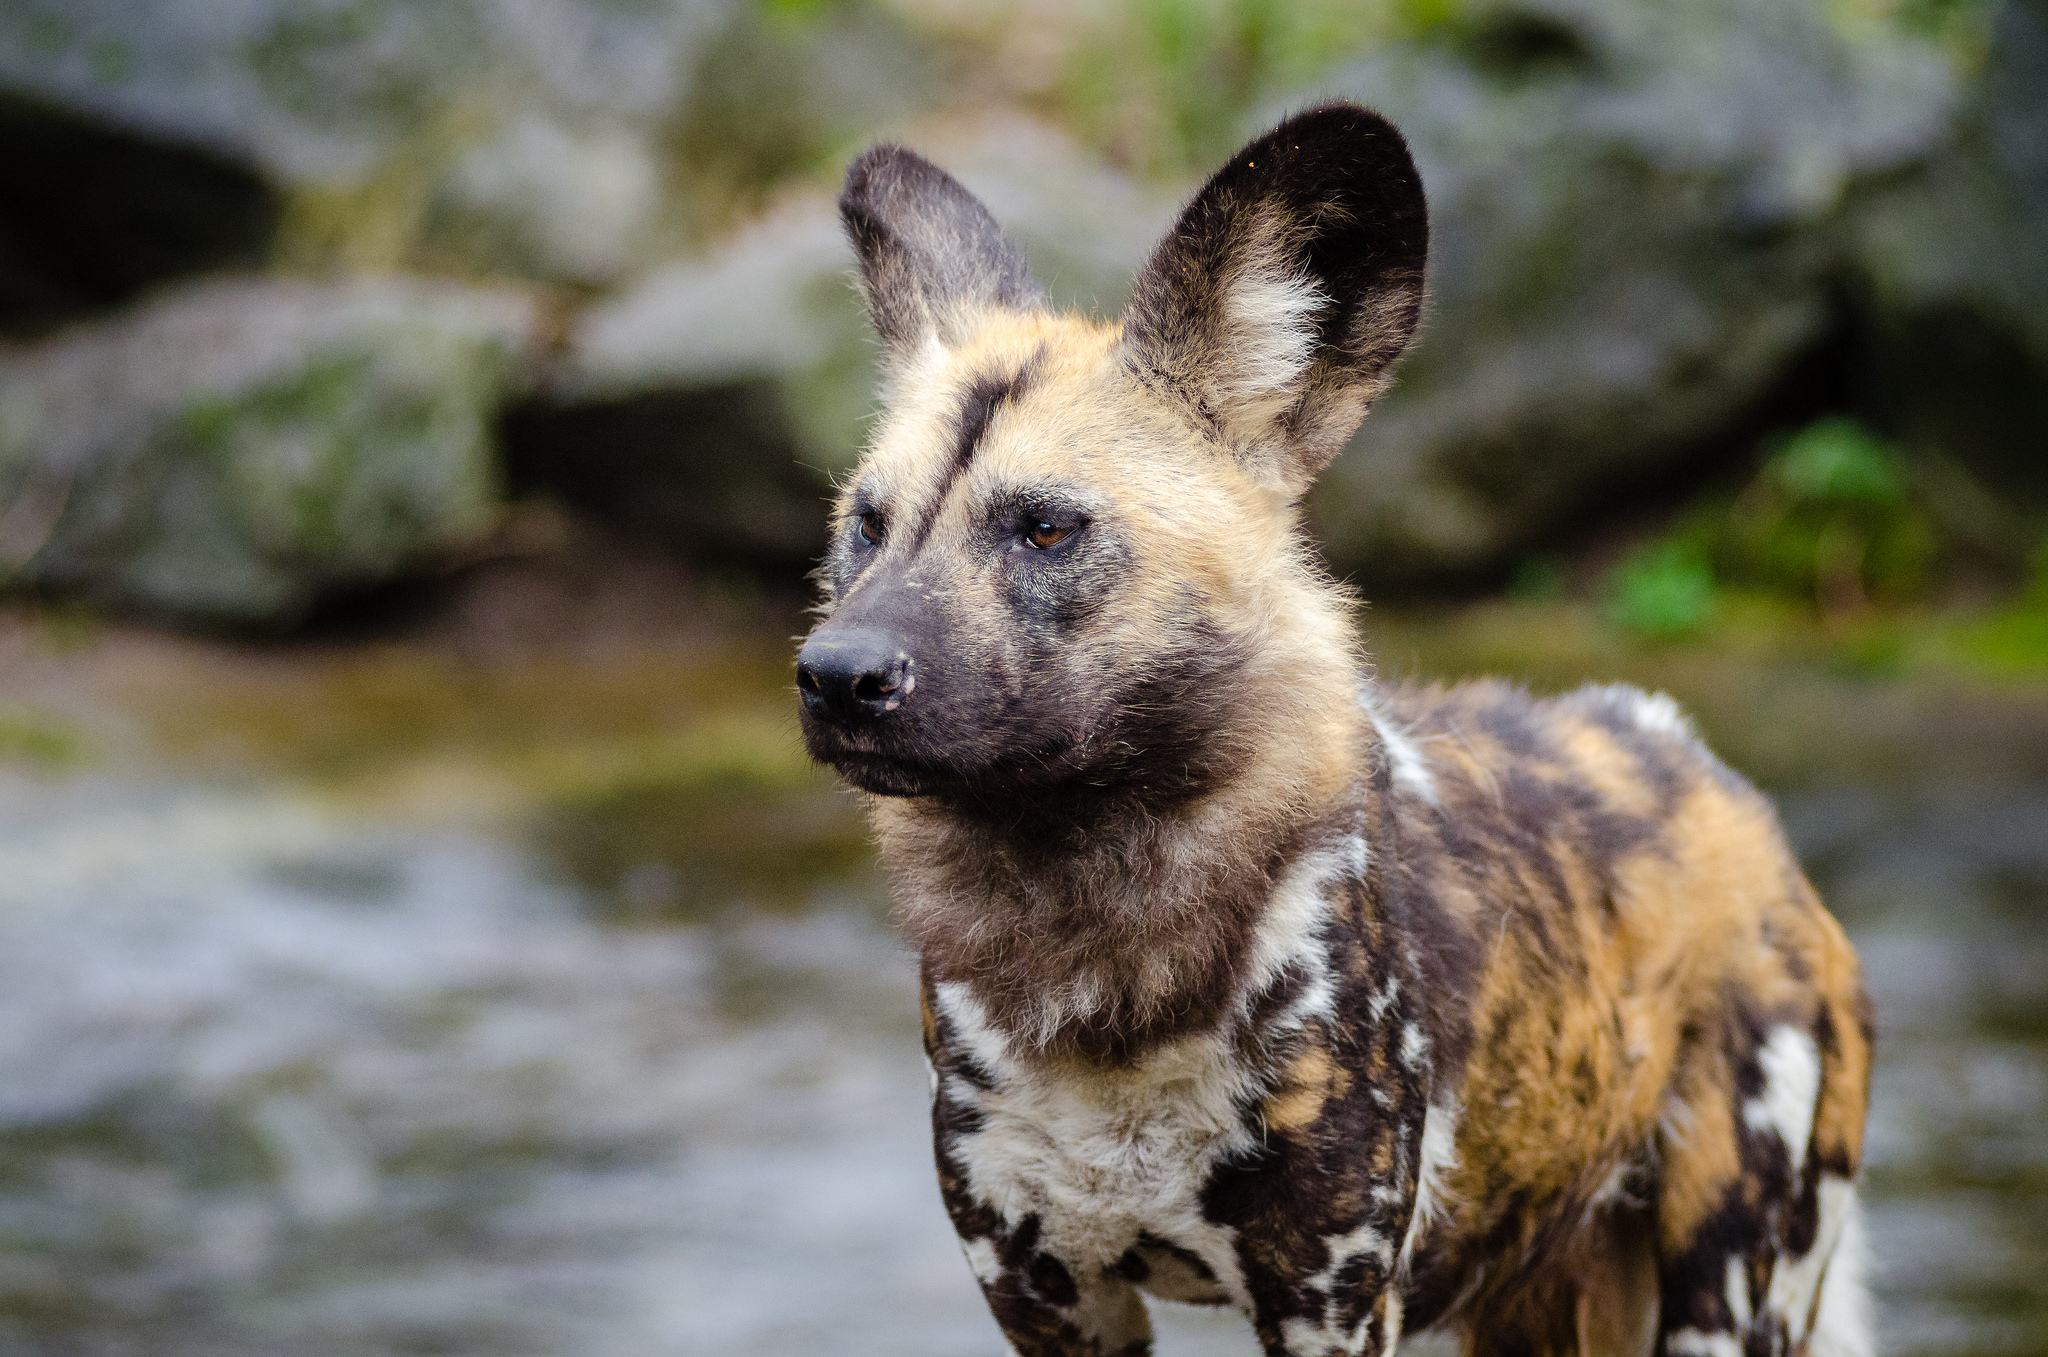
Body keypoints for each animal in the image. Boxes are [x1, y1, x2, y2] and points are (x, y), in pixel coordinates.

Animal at [794, 103, 1875, 1357]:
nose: (835, 676)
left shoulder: (1328, 1298)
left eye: (1047, 529)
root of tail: (1710, 772)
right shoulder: (1043, 1294)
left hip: (1730, 1292)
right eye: (864, 526)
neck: (1100, 954)